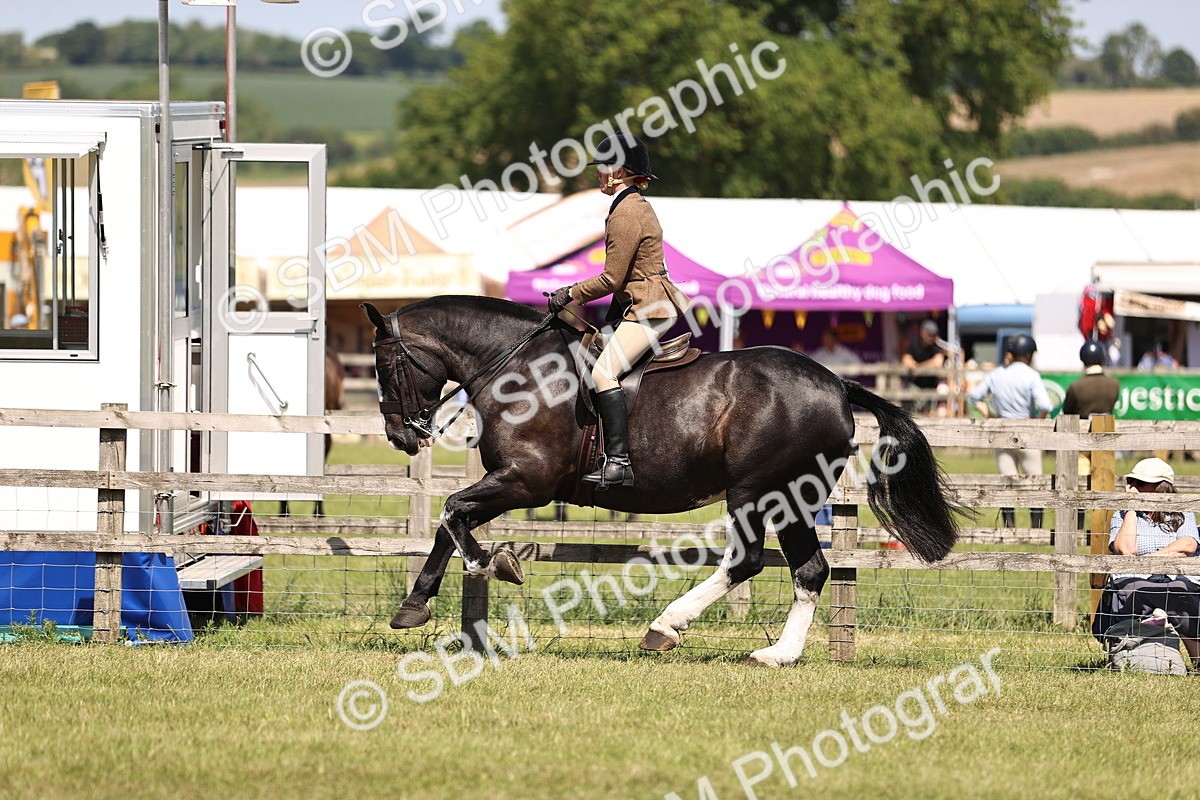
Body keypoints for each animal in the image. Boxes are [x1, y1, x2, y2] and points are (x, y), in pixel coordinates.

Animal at [363, 296, 966, 666]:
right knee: (807, 569)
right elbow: (451, 520)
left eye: (386, 366)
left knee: (750, 561)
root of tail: (839, 384)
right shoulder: (511, 482)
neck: (519, 371)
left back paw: (669, 627)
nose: (399, 435)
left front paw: (495, 562)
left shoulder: (525, 481)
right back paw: (777, 654)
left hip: (760, 493)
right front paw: (414, 605)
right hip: (790, 498)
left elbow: (451, 511)